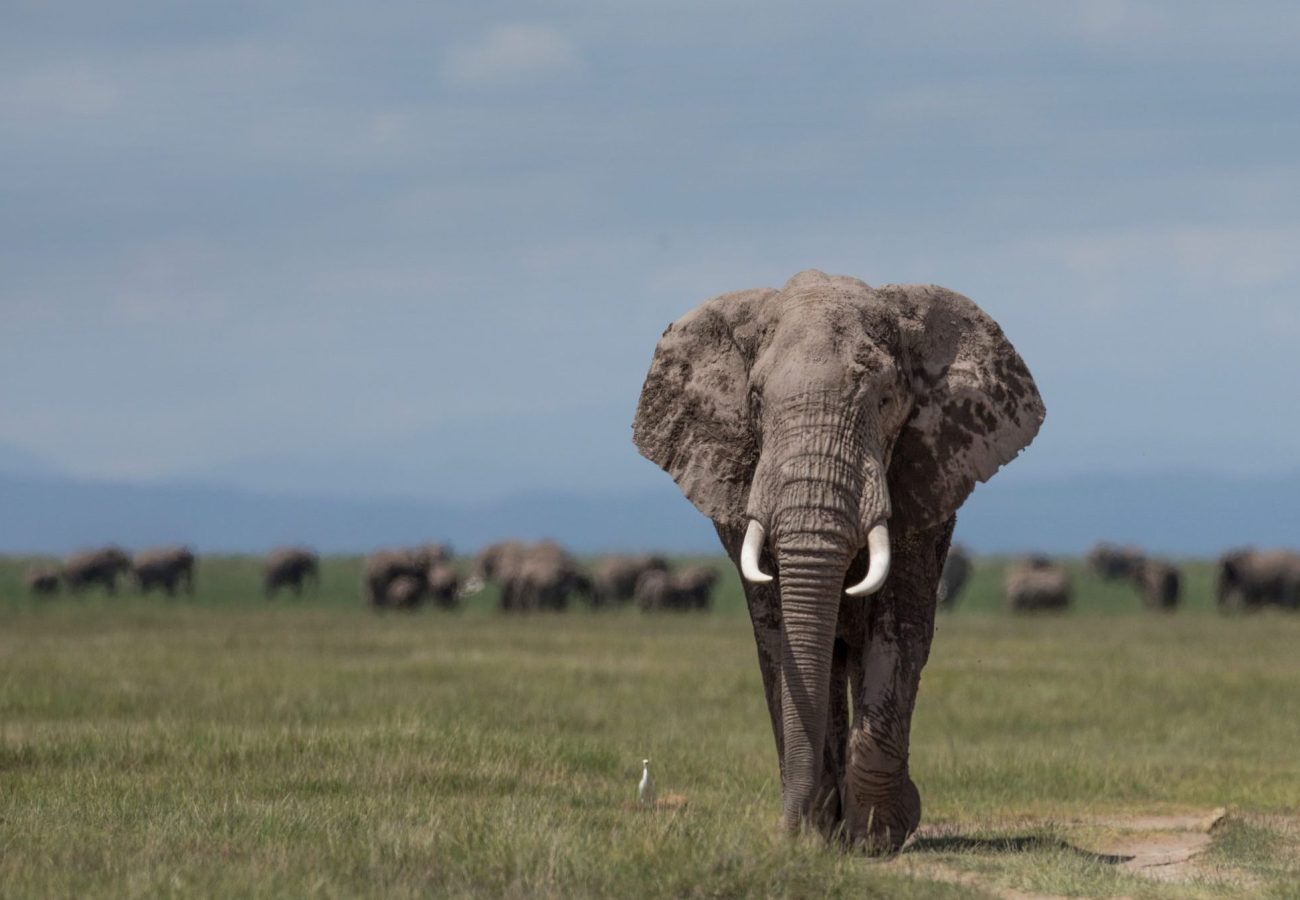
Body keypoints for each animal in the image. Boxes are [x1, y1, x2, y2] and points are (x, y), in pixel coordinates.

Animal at [629, 266, 1045, 853]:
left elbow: (899, 631)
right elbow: (779, 639)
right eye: (755, 400)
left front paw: (879, 835)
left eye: (887, 399)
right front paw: (819, 833)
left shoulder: (924, 480)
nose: (788, 830)